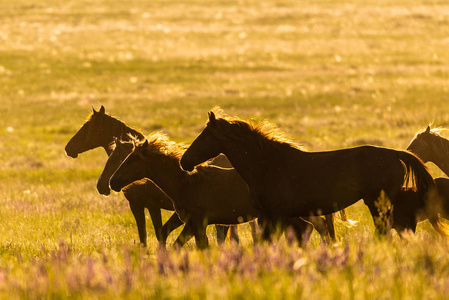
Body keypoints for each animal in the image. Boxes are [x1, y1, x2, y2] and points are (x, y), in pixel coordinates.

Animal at [109, 134, 336, 248]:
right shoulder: (192, 223)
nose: (113, 182)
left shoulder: (198, 222)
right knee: (308, 229)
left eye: (133, 159)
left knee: (311, 228)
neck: (186, 183)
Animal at [178, 108, 438, 241]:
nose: (184, 161)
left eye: (205, 135)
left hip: (377, 204)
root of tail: (396, 154)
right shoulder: (267, 216)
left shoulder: (278, 215)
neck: (268, 164)